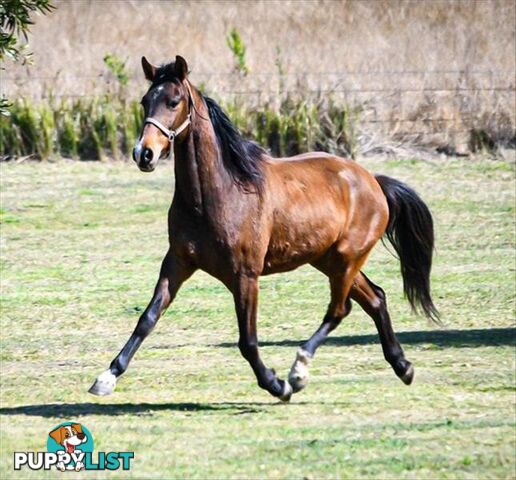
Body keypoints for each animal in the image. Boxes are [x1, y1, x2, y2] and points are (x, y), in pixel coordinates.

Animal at [87, 55, 436, 402]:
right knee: (375, 298)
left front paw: (277, 384)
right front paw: (106, 377)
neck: (218, 194)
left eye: (174, 101)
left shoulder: (245, 276)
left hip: (346, 259)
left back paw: (299, 371)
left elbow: (248, 340)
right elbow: (147, 318)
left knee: (340, 309)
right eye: (145, 101)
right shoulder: (178, 262)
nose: (143, 154)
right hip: (328, 260)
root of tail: (373, 181)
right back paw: (403, 366)